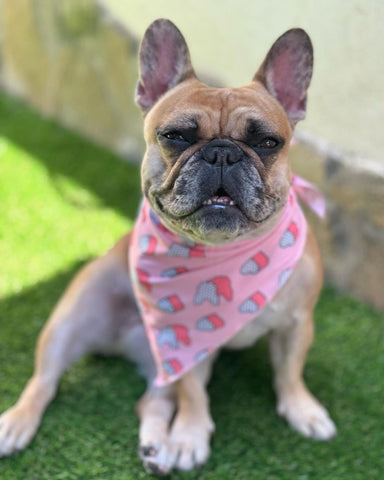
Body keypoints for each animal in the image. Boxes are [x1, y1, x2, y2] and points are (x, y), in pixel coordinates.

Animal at [0, 17, 336, 472]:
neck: (225, 253)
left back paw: (155, 447)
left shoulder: (297, 324)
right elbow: (193, 392)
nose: (223, 154)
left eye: (268, 143)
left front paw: (302, 409)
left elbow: (290, 372)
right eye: (175, 136)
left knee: (152, 403)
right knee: (44, 381)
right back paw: (15, 423)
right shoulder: (187, 342)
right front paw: (189, 435)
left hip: (156, 365)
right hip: (69, 324)